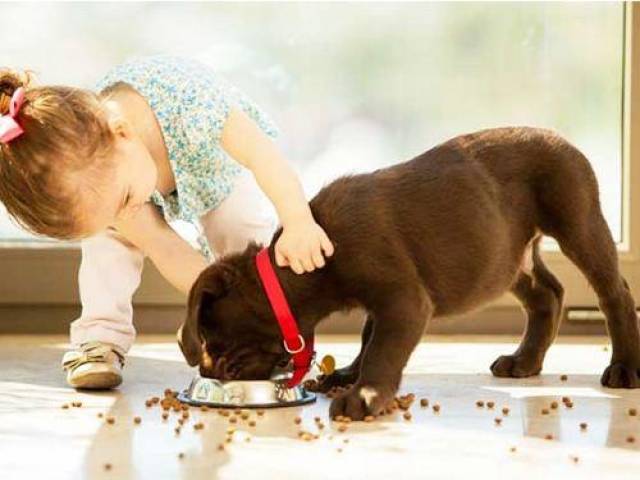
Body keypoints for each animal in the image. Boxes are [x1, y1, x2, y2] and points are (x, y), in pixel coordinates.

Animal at [176, 127, 640, 420]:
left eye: (212, 340)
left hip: (578, 221)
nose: (209, 372)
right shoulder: (381, 303)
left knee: (613, 292)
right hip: (506, 258)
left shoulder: (403, 301)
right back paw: (524, 361)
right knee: (548, 293)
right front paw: (348, 375)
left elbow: (382, 348)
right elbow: (368, 337)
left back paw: (624, 368)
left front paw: (364, 394)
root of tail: (561, 138)